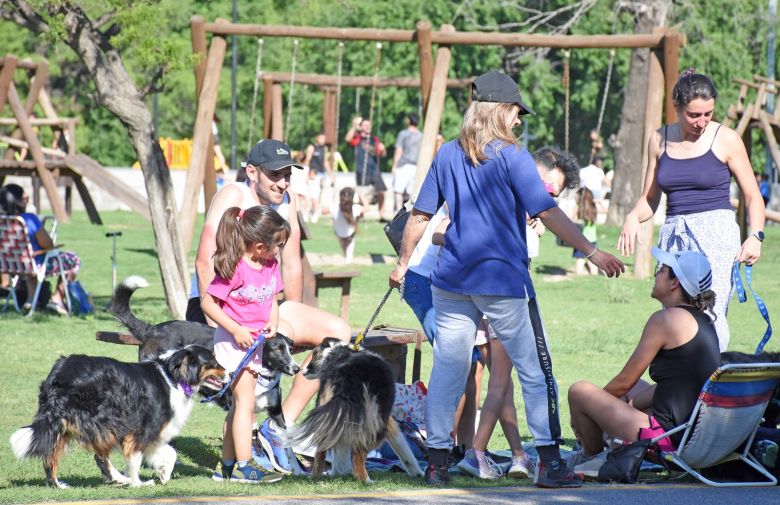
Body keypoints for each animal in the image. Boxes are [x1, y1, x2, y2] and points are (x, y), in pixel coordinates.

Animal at [10, 344, 227, 486]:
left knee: (56, 455)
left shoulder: (152, 433)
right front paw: (138, 482)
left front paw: (164, 474)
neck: (173, 377)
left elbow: (169, 452)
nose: (228, 372)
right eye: (212, 362)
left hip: (70, 423)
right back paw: (123, 479)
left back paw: (62, 484)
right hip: (102, 420)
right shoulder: (143, 430)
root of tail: (59, 373)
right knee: (98, 456)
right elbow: (136, 458)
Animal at [286, 336, 424, 482]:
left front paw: (339, 471)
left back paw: (316, 477)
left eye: (314, 355)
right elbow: (402, 446)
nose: (301, 371)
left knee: (321, 451)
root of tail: (348, 375)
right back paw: (366, 481)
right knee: (358, 456)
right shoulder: (387, 420)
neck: (337, 353)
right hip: (375, 425)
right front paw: (417, 472)